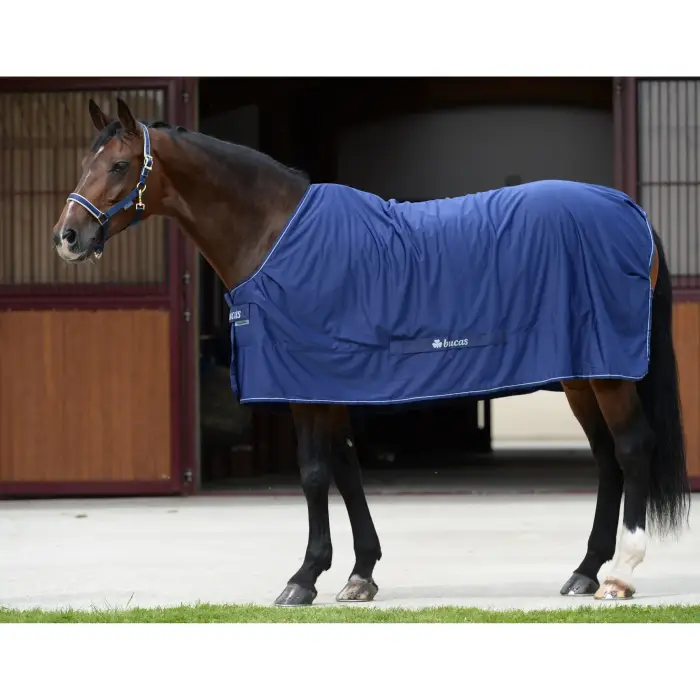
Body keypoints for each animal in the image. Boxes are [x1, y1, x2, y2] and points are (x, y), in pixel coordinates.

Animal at [51, 98, 691, 606]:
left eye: (119, 165)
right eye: (84, 163)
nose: (67, 237)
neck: (275, 236)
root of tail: (630, 211)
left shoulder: (304, 383)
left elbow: (314, 473)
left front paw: (304, 578)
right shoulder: (328, 380)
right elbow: (347, 468)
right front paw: (360, 574)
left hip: (609, 375)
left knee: (632, 449)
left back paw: (621, 576)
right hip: (585, 375)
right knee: (607, 460)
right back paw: (585, 572)